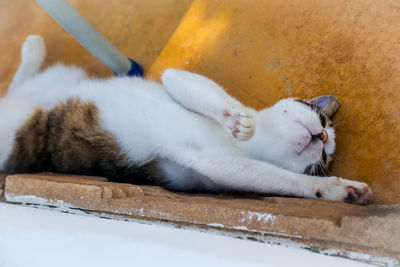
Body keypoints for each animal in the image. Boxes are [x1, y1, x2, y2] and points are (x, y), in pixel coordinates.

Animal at [1, 35, 374, 205]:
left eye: (325, 158)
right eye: (322, 119)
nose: (323, 137)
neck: (258, 144)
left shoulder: (211, 166)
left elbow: (280, 179)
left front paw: (336, 189)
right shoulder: (176, 80)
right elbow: (192, 85)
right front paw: (236, 119)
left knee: (14, 89)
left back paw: (32, 52)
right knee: (16, 85)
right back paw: (33, 50)